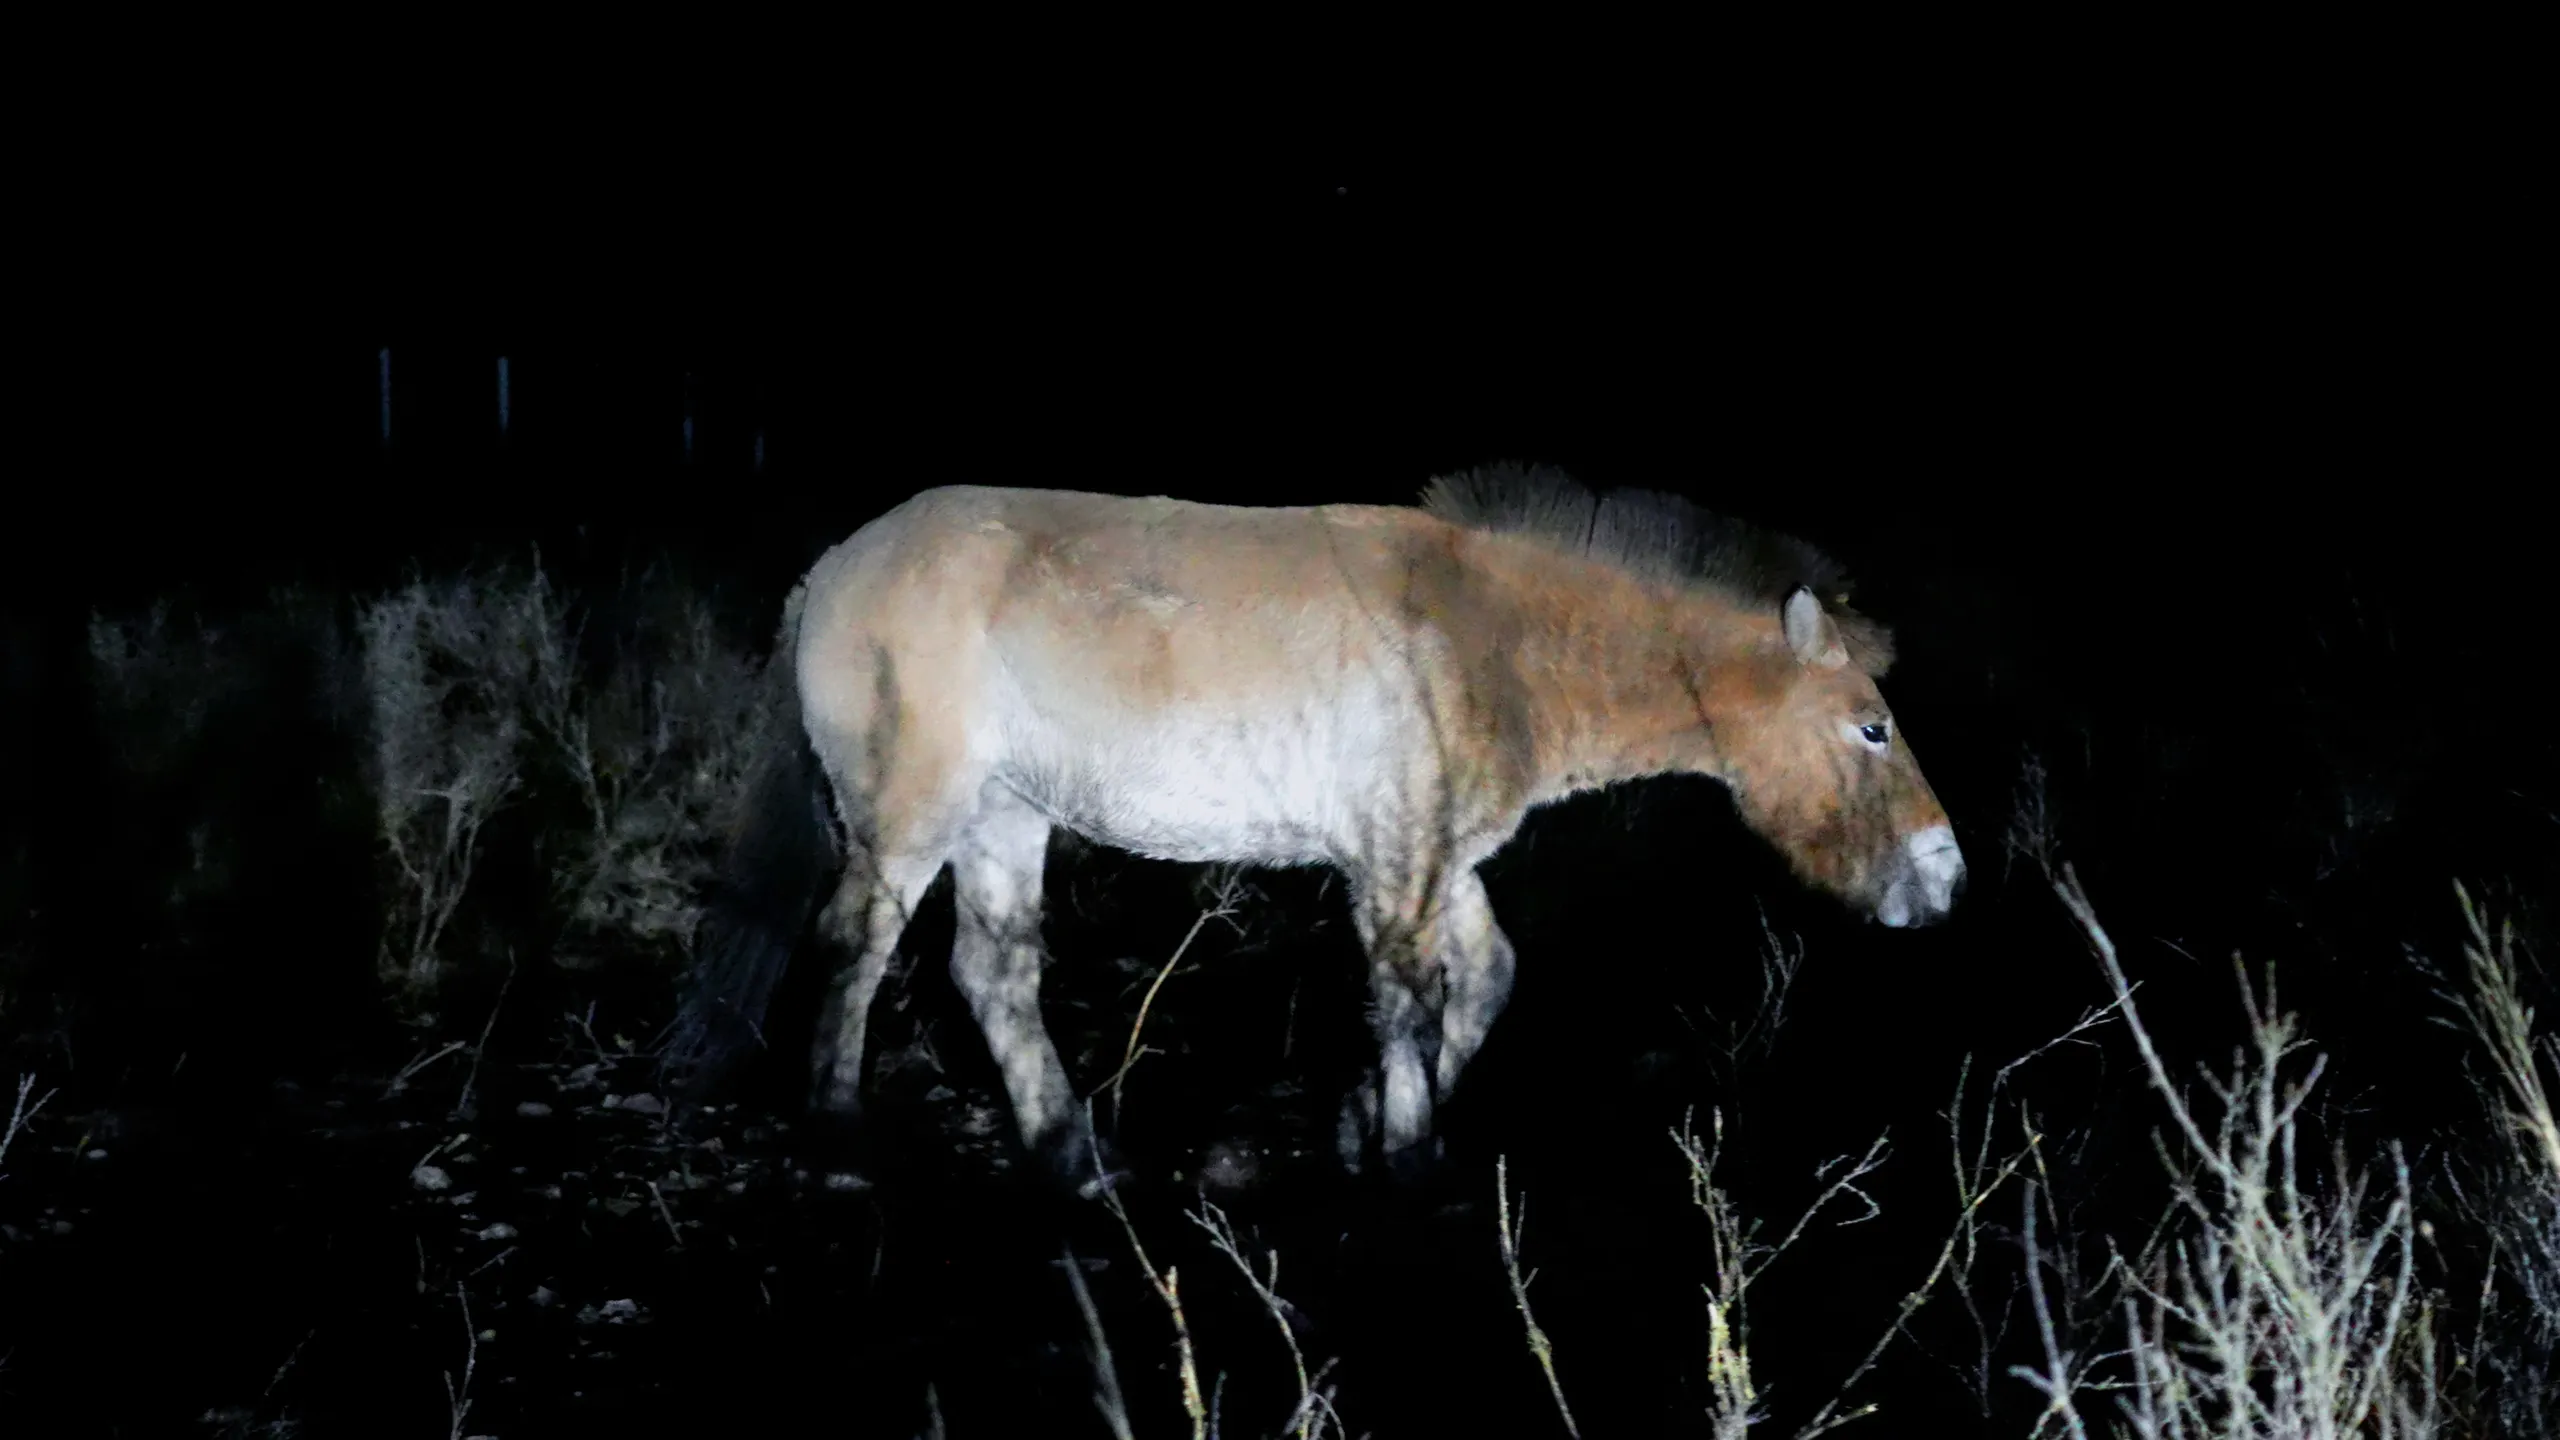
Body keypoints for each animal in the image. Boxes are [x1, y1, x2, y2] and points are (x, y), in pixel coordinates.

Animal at [662, 465, 1964, 1189]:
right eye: (1870, 728)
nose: (1944, 876)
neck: (1489, 638)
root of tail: (832, 567)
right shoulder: (1398, 862)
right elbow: (1409, 1004)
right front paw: (1402, 1154)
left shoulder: (1431, 858)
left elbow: (1483, 982)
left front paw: (1369, 1131)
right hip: (912, 815)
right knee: (856, 947)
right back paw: (841, 1143)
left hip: (1002, 819)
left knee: (990, 974)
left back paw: (1074, 1158)